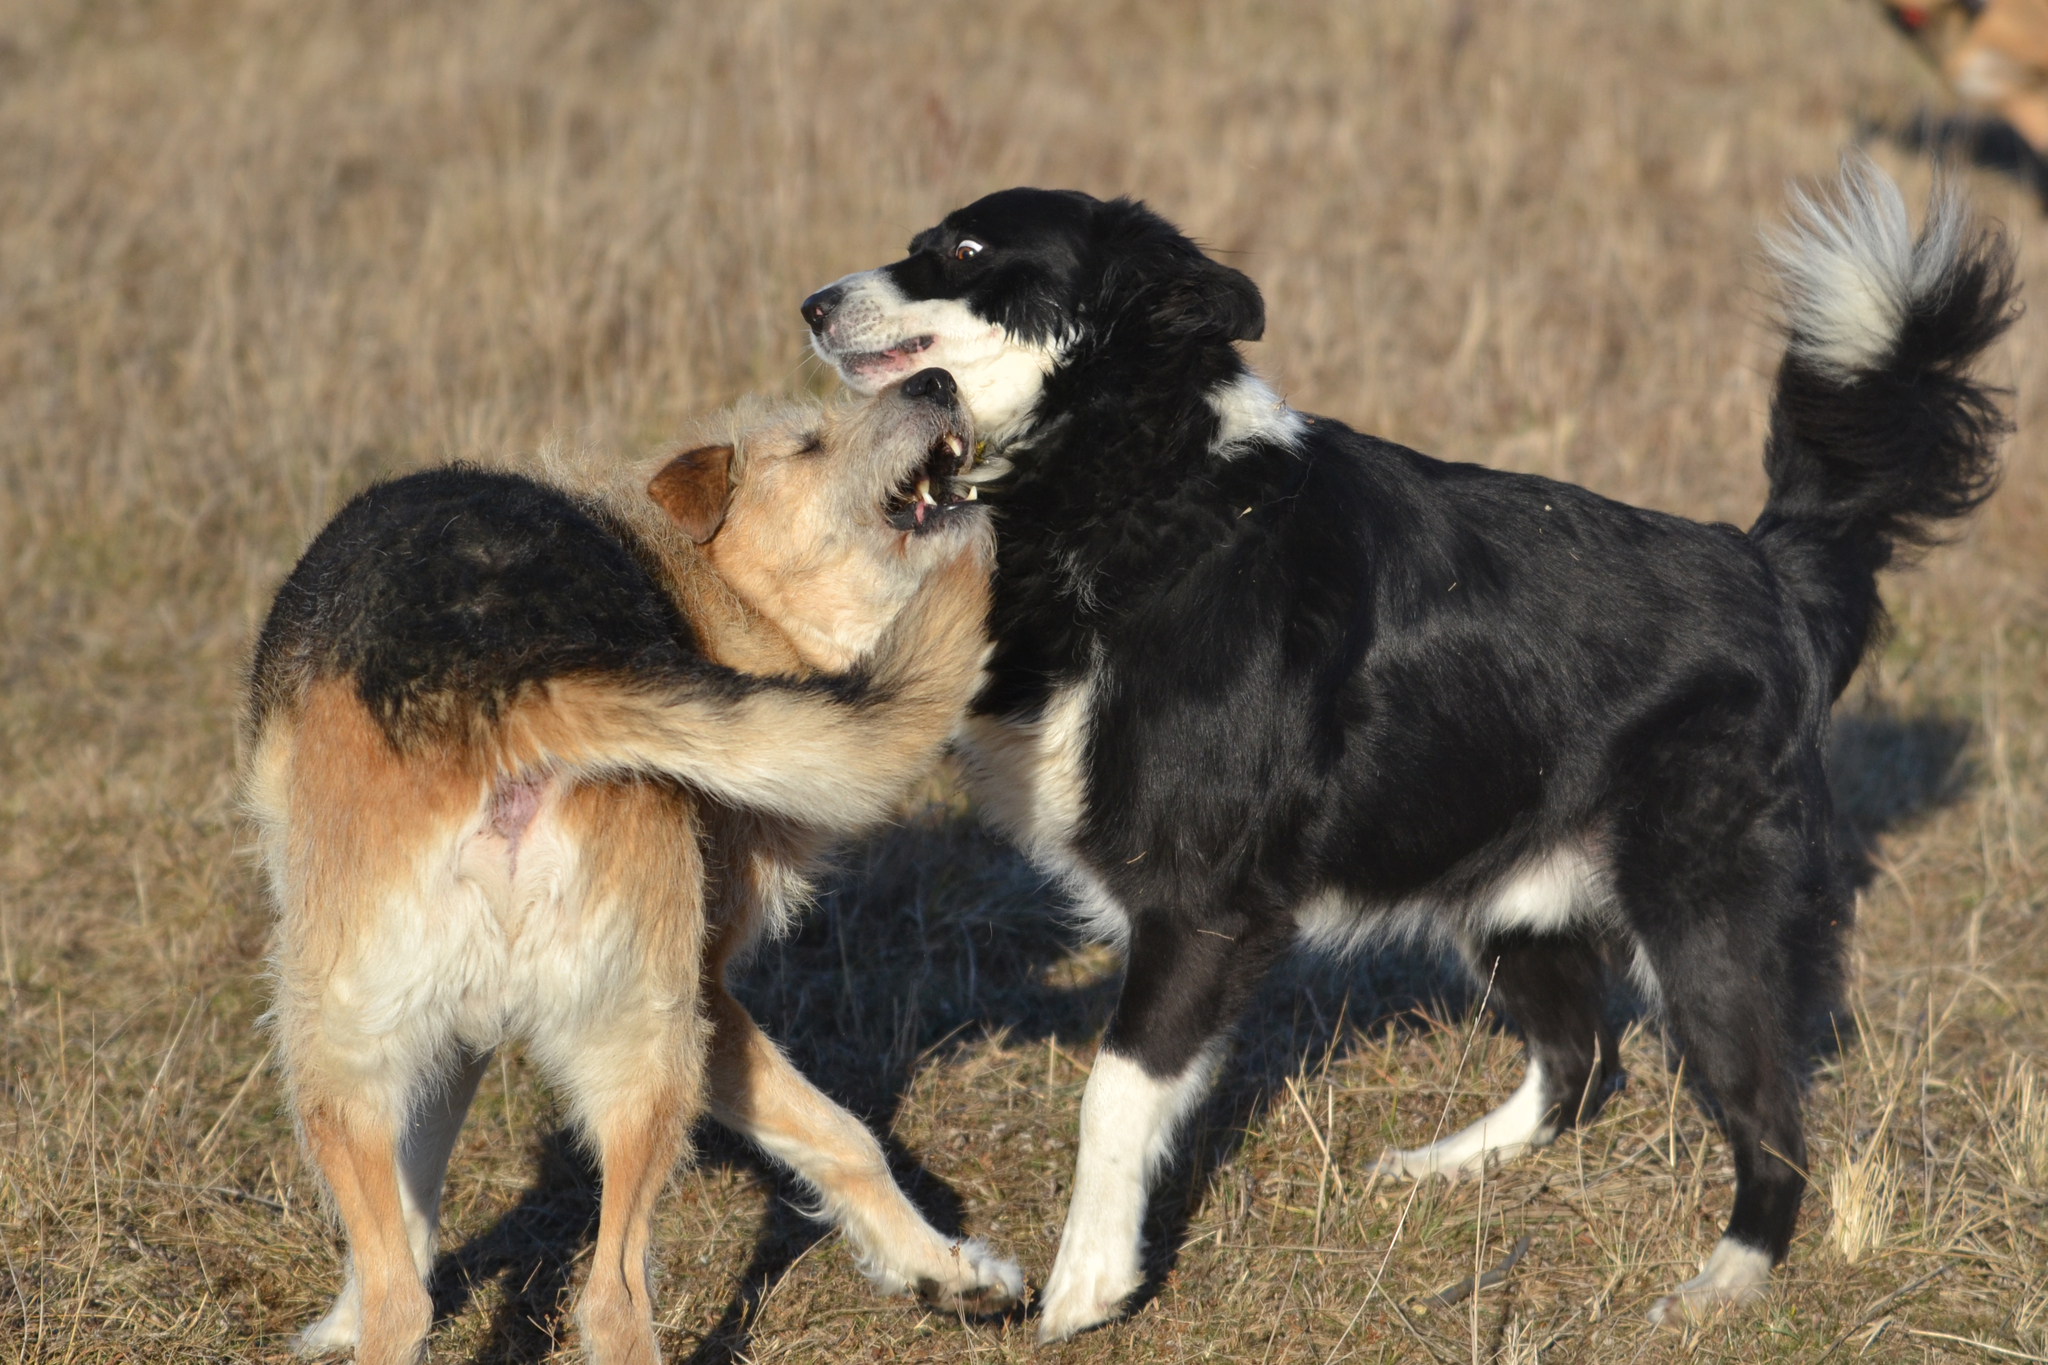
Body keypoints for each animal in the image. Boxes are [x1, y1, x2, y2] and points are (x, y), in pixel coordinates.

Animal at [243, 366, 1011, 1365]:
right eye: (809, 442)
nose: (937, 377)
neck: (704, 592)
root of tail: (515, 678)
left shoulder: (663, 1003)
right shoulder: (642, 1012)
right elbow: (845, 1134)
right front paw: (942, 1270)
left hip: (356, 1056)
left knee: (546, 1299)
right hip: (633, 1044)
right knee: (582, 1300)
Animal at [798, 157, 2015, 1334]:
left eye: (962, 251)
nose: (810, 303)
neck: (1133, 476)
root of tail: (1770, 571)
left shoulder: (1199, 905)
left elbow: (1113, 1093)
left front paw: (1079, 1295)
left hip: (1705, 921)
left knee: (1768, 1121)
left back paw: (1725, 1282)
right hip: (1507, 895)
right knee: (1578, 1059)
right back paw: (1443, 1165)